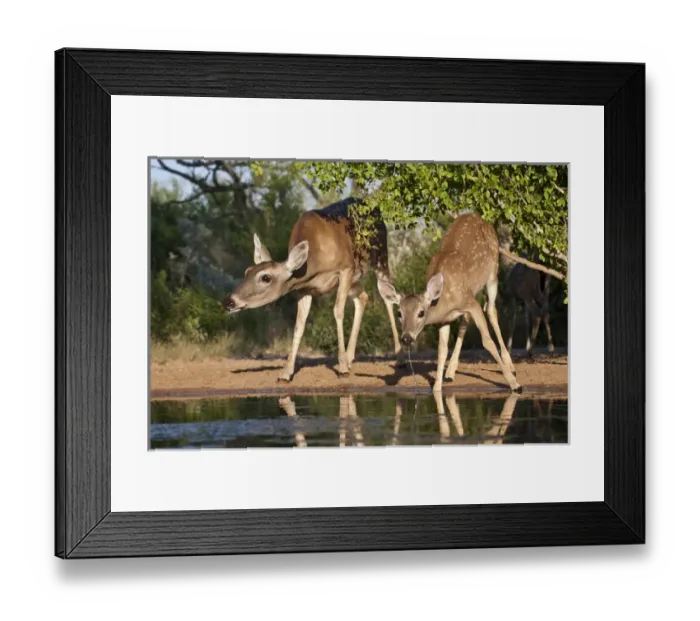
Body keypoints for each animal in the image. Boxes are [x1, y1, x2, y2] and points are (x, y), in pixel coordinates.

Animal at [223, 198, 403, 382]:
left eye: (265, 277)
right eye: (247, 271)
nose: (229, 301)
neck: (315, 261)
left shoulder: (345, 268)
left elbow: (338, 311)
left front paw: (342, 368)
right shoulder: (305, 289)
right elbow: (299, 325)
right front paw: (285, 373)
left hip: (380, 257)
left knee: (388, 297)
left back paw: (398, 357)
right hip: (355, 279)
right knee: (363, 297)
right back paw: (350, 358)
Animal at [378, 213, 559, 394]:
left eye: (421, 312)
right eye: (399, 313)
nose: (407, 338)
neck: (445, 298)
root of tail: (478, 217)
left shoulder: (471, 302)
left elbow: (487, 341)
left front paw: (515, 384)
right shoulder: (445, 319)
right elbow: (442, 351)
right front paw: (436, 388)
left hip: (493, 271)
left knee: (491, 310)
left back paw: (511, 366)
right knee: (467, 319)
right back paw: (450, 372)